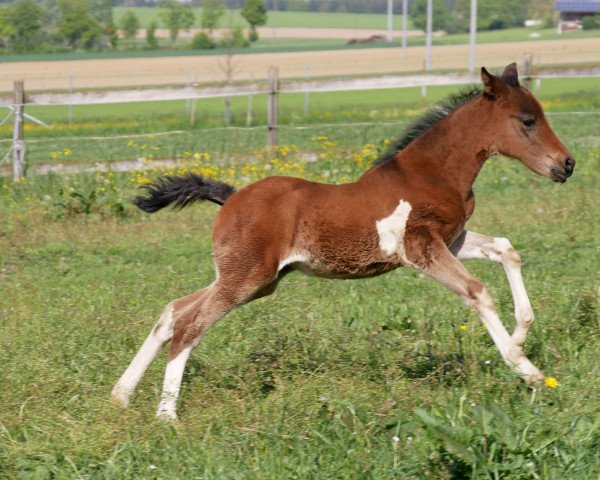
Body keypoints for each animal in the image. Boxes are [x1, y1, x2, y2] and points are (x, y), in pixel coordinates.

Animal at [110, 63, 576, 420]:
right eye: (528, 120)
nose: (567, 164)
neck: (433, 171)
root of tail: (231, 196)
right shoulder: (421, 248)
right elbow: (477, 292)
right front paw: (526, 369)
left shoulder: (453, 239)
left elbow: (506, 249)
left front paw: (521, 334)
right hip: (246, 277)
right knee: (189, 325)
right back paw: (166, 415)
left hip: (254, 278)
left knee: (173, 311)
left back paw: (122, 394)